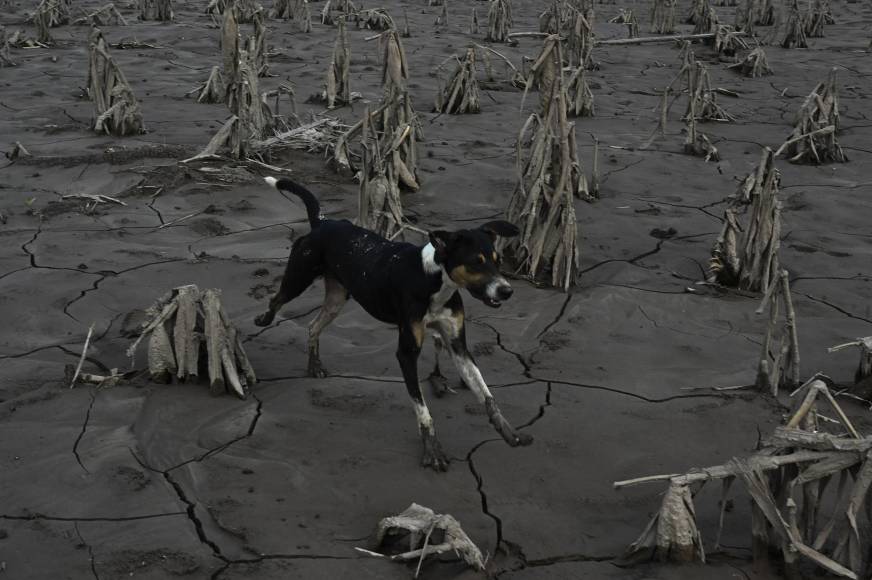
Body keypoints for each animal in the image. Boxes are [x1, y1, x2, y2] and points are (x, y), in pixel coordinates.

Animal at [254, 177, 532, 472]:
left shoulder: (459, 347)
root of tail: (323, 223)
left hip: (337, 298)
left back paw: (314, 365)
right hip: (298, 277)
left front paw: (508, 430)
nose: (507, 291)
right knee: (277, 299)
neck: (433, 280)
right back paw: (264, 319)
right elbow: (423, 410)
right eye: (475, 262)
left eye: (497, 261)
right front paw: (432, 449)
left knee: (313, 325)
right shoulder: (407, 353)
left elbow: (485, 393)